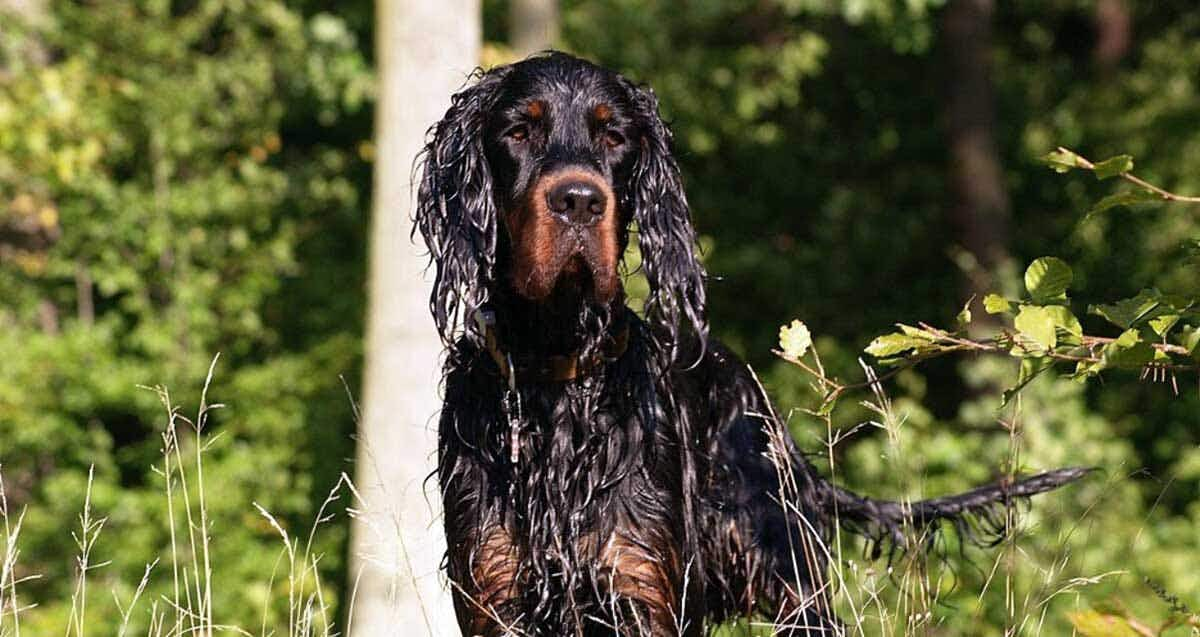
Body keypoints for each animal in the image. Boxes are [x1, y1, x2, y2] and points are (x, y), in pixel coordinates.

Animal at [412, 50, 1089, 637]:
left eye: (615, 137)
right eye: (518, 132)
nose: (578, 200)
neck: (556, 366)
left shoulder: (638, 585)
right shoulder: (496, 596)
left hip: (788, 577)